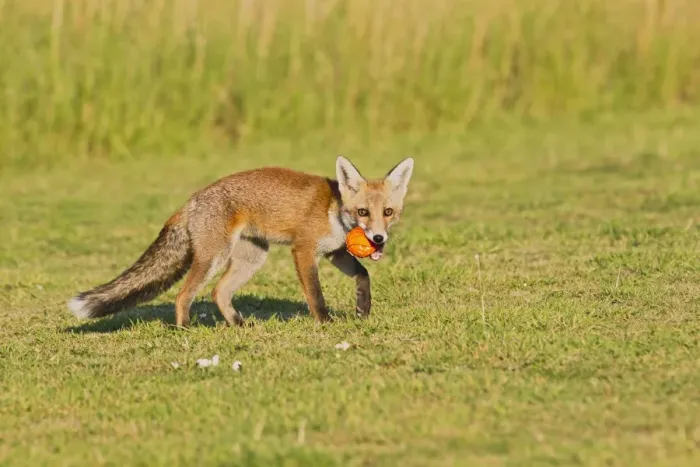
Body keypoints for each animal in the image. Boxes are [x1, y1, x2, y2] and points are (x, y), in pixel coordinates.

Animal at [67, 156, 414, 327]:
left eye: (388, 212)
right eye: (362, 212)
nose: (378, 239)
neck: (334, 210)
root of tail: (192, 200)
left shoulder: (334, 252)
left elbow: (363, 275)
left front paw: (362, 310)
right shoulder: (303, 251)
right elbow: (316, 295)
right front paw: (326, 322)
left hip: (251, 258)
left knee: (219, 292)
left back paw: (238, 325)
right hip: (215, 256)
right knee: (184, 295)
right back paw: (184, 329)